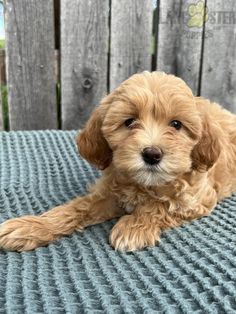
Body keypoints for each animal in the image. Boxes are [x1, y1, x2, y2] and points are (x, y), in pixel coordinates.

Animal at [0, 72, 236, 253]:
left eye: (176, 124)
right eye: (129, 122)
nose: (152, 154)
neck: (144, 185)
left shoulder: (196, 200)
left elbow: (160, 206)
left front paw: (133, 227)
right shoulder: (110, 195)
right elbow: (77, 207)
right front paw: (32, 226)